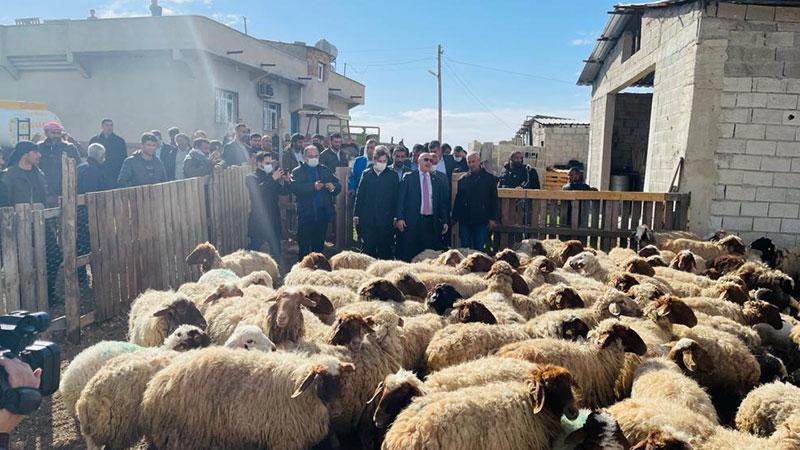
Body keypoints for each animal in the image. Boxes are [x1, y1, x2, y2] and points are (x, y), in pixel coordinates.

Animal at [142, 348, 354, 450]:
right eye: (321, 379)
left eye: (341, 380)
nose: (337, 409)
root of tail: (155, 386)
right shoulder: (286, 439)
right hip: (182, 437)